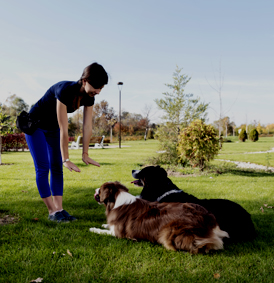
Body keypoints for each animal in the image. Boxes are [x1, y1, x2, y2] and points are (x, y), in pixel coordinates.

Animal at [90, 182, 229, 255]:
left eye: (100, 190)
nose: (95, 189)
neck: (116, 200)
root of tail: (208, 218)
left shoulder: (118, 234)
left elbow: (103, 231)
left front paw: (93, 229)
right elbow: (107, 226)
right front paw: (104, 224)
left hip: (171, 232)